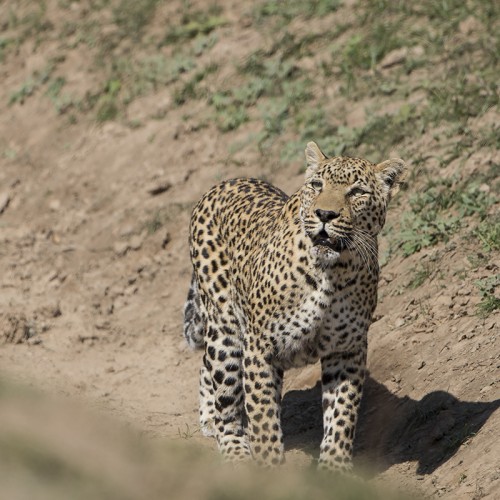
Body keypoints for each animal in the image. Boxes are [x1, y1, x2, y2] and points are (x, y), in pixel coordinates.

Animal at [183, 142, 406, 472]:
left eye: (356, 191)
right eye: (317, 185)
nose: (325, 214)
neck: (332, 273)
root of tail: (224, 183)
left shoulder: (347, 350)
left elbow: (342, 415)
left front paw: (333, 469)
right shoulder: (259, 348)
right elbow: (263, 420)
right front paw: (271, 470)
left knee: (206, 367)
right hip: (226, 329)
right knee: (225, 389)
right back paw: (232, 445)